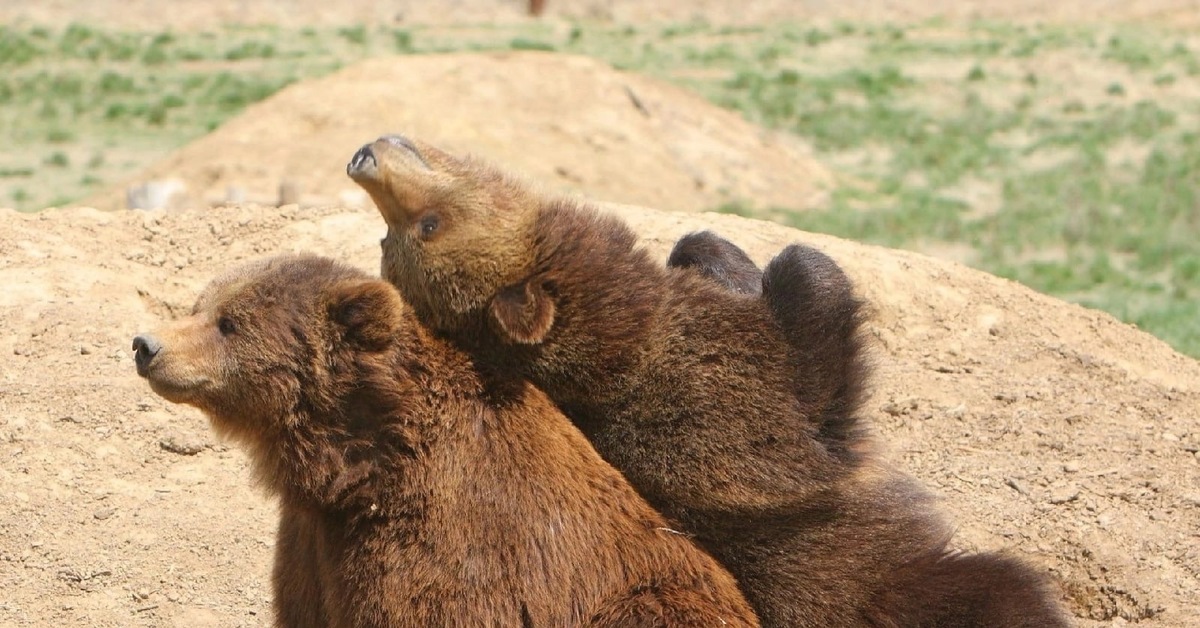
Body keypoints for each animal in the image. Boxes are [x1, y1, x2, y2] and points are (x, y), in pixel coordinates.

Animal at [131, 254, 758, 628]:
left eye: (230, 323)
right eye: (199, 306)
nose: (146, 344)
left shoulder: (452, 541)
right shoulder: (314, 546)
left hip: (653, 599)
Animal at [348, 136, 1070, 628]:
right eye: (423, 227)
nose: (364, 157)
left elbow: (704, 246)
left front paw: (722, 258)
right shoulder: (729, 409)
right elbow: (808, 328)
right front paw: (796, 271)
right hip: (901, 587)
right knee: (1000, 591)